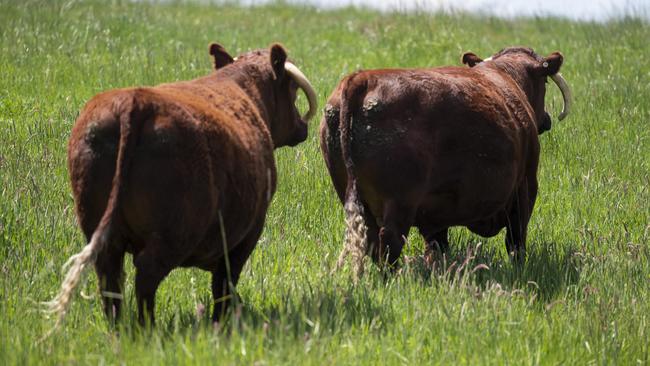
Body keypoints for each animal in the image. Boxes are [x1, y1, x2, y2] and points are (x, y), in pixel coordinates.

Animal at [45, 42, 316, 326]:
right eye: (292, 90)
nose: (302, 126)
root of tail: (135, 100)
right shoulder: (248, 231)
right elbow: (224, 281)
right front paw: (221, 321)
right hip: (176, 230)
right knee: (146, 273)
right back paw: (147, 328)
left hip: (101, 232)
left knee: (110, 283)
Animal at [322, 46, 568, 274]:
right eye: (545, 81)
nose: (546, 119)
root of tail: (363, 78)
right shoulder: (525, 187)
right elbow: (516, 242)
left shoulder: (435, 211)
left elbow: (436, 247)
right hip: (400, 202)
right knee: (389, 242)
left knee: (372, 241)